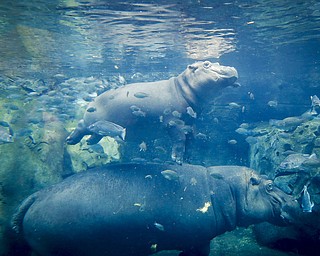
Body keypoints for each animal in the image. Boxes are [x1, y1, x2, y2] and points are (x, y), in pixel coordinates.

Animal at [66, 61, 239, 163]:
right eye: (207, 64)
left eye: (217, 62)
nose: (231, 67)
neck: (182, 87)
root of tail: (92, 101)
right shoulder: (173, 123)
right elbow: (180, 139)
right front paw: (177, 159)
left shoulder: (189, 123)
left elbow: (190, 139)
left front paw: (188, 158)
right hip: (88, 121)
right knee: (81, 125)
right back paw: (70, 140)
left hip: (101, 125)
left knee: (96, 134)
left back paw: (89, 142)